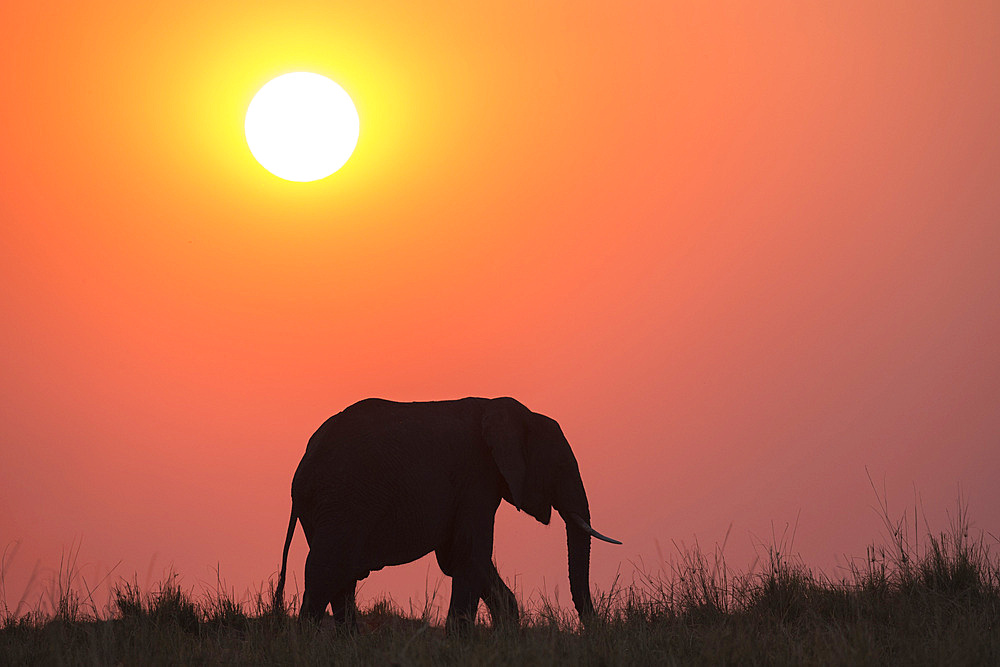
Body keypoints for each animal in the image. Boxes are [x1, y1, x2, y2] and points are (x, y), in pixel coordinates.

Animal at [274, 396, 616, 632]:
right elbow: (470, 553)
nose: (594, 628)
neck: (508, 410)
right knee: (327, 569)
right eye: (560, 467)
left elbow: (459, 557)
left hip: (329, 507)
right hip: (343, 500)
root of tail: (303, 464)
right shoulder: (476, 477)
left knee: (343, 576)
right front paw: (460, 644)